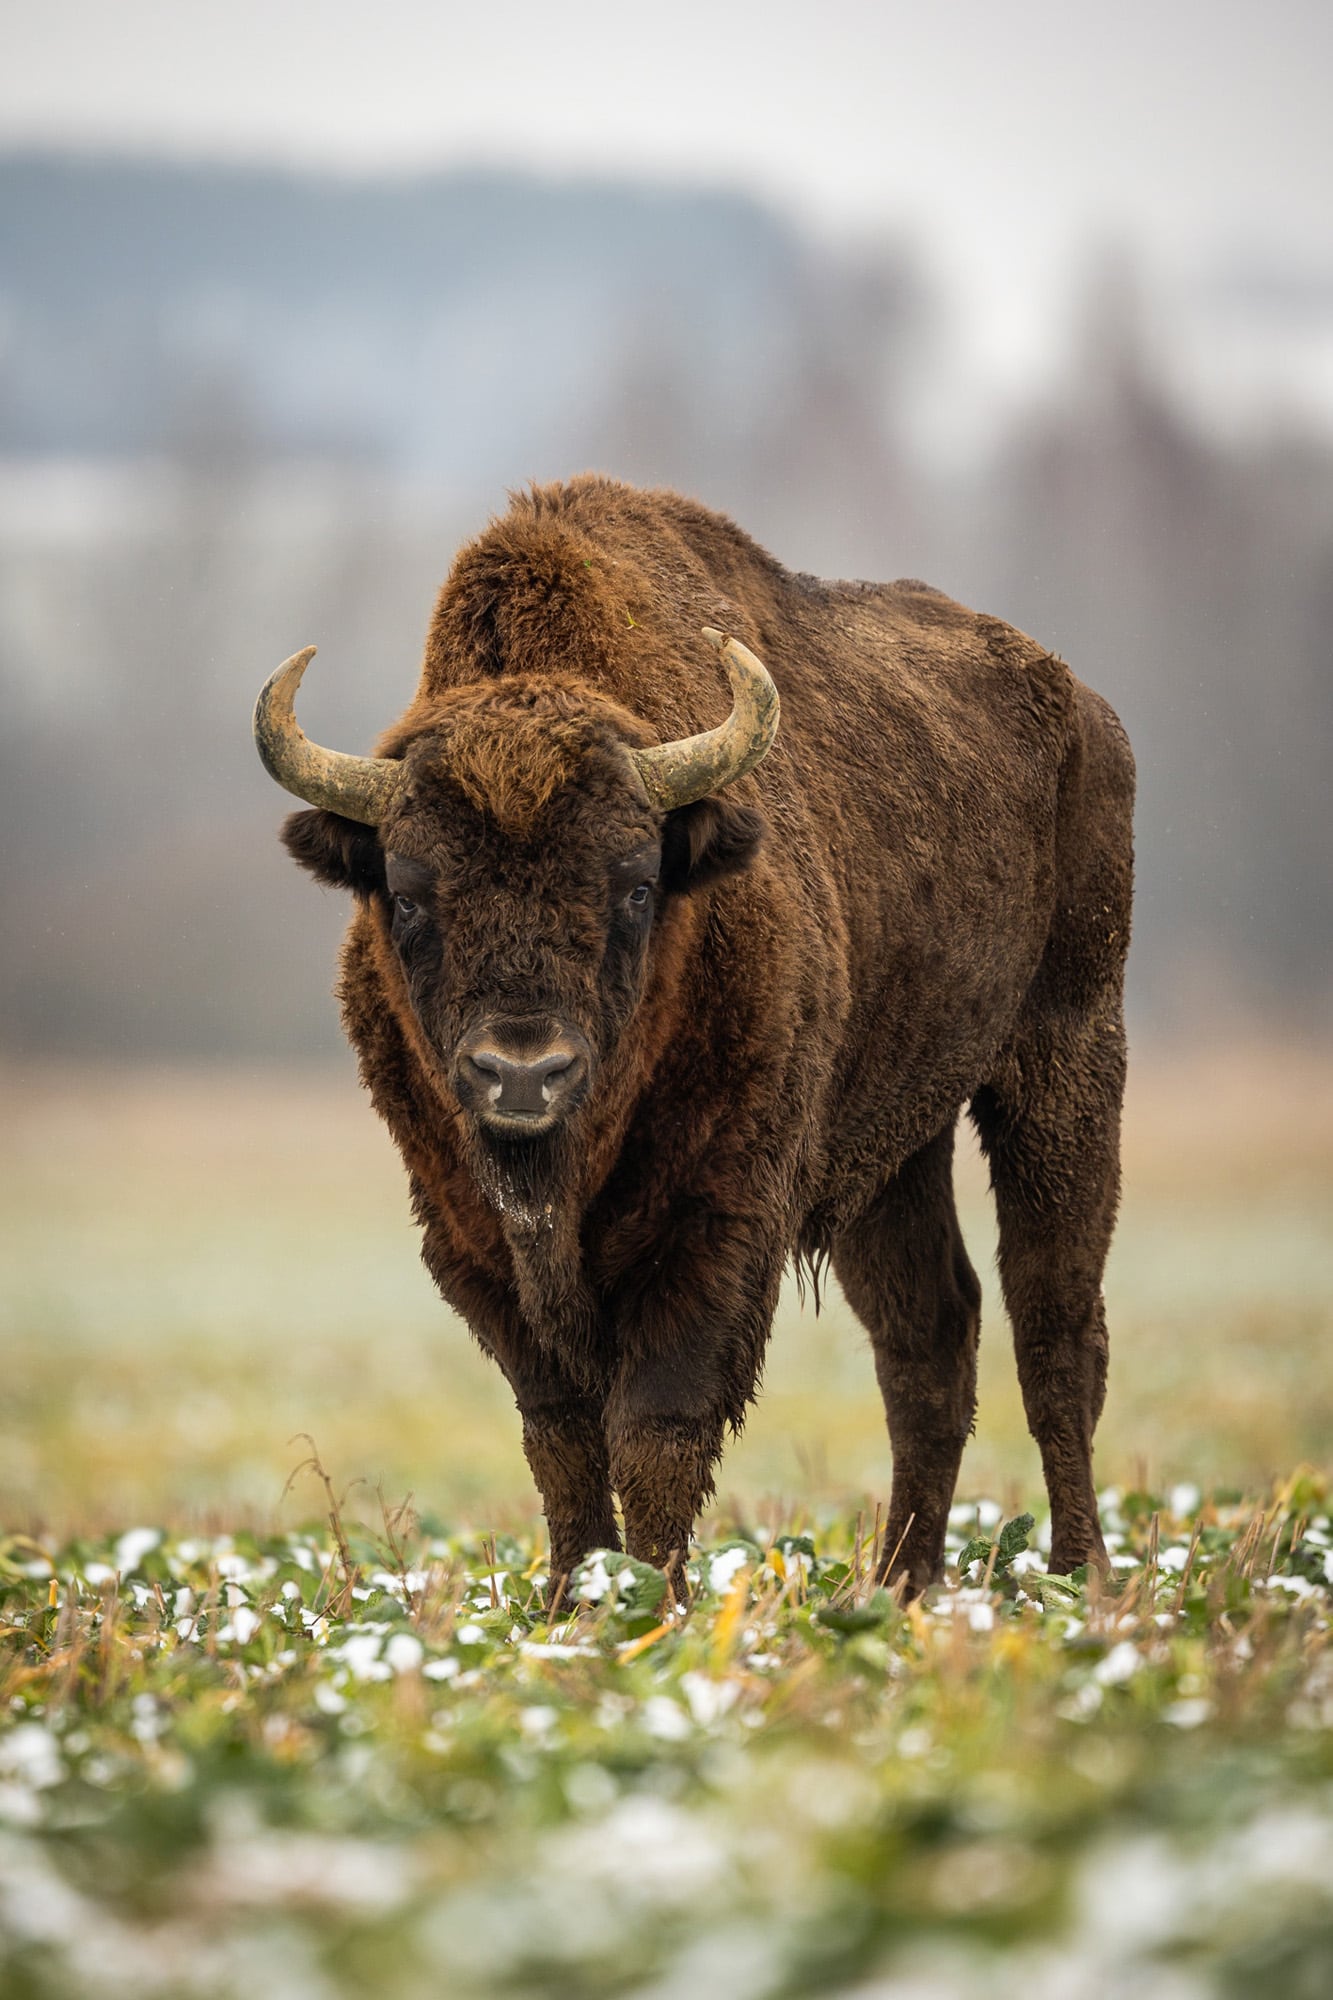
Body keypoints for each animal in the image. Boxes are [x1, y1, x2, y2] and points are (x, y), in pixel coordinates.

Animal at [254, 475, 1134, 1595]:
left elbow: (656, 1427)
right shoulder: (469, 1237)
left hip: (1067, 1053)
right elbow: (559, 1434)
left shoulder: (717, 1225)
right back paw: (899, 1580)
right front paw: (570, 1598)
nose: (522, 1073)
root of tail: (1082, 708)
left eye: (635, 882)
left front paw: (651, 1600)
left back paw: (1079, 1573)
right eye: (406, 895)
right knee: (929, 1339)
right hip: (893, 1148)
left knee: (1054, 1323)